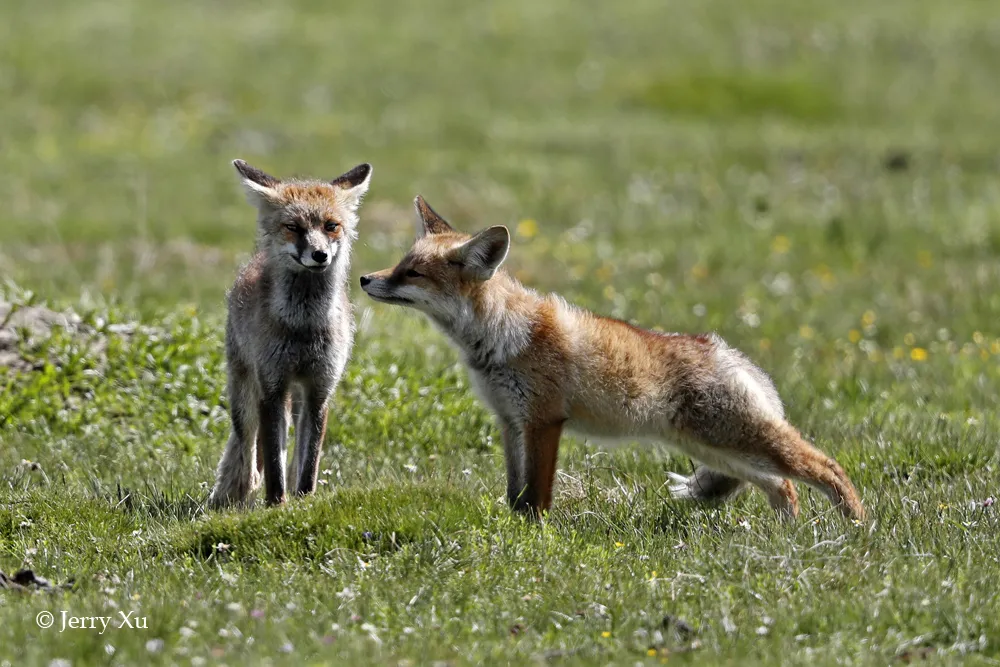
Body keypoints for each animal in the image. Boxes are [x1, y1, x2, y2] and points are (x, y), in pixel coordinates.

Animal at [209, 159, 374, 508]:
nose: (320, 255)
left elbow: (308, 461)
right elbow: (273, 461)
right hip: (245, 390)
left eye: (331, 226)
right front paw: (275, 504)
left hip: (296, 397)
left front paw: (304, 500)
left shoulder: (319, 388)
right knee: (245, 442)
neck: (303, 327)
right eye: (293, 227)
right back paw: (237, 490)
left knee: (296, 453)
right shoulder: (272, 387)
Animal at [362, 198, 868, 520]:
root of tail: (729, 352)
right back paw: (789, 537)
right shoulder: (509, 420)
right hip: (713, 449)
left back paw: (855, 531)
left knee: (827, 468)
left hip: (737, 438)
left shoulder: (544, 420)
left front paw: (533, 539)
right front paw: (514, 530)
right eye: (400, 264)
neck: (499, 337)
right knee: (782, 486)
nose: (365, 278)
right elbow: (514, 494)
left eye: (412, 273)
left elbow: (536, 497)